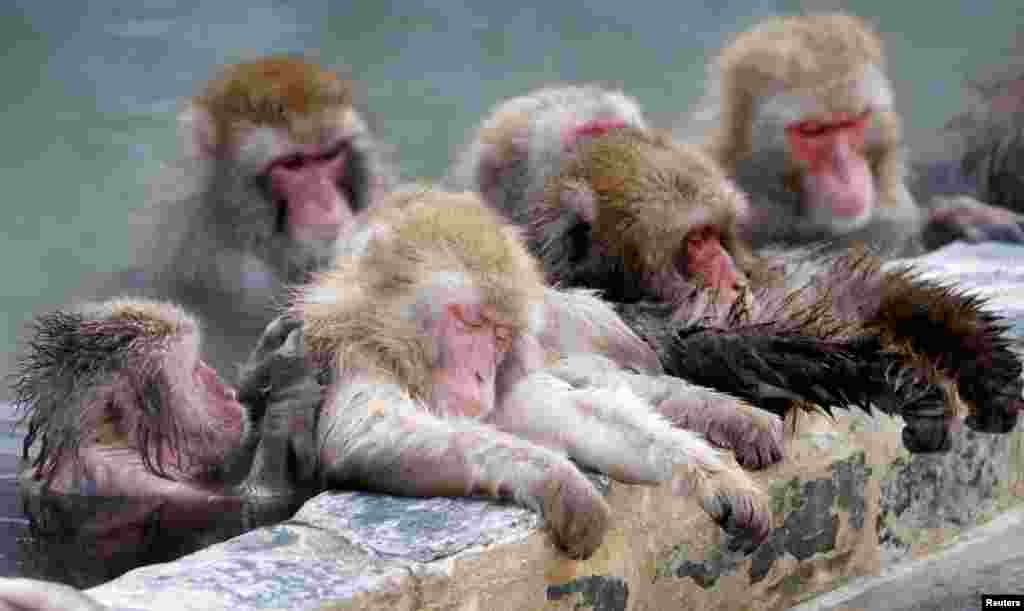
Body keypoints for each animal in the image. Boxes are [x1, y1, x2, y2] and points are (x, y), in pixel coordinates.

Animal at [292, 188, 770, 560]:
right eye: (470, 323)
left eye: (500, 334)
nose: (481, 375)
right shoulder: (355, 356)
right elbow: (369, 432)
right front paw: (562, 482)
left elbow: (572, 416)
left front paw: (716, 479)